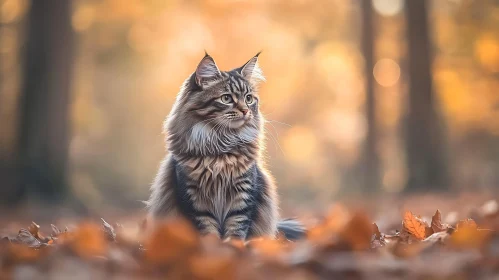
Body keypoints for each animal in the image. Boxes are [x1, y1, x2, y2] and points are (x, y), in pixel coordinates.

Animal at [146, 53, 306, 241]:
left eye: (249, 99)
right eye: (226, 98)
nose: (245, 111)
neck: (220, 145)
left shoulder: (243, 192)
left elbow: (236, 228)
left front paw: (233, 247)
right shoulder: (194, 197)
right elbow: (207, 231)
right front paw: (214, 248)